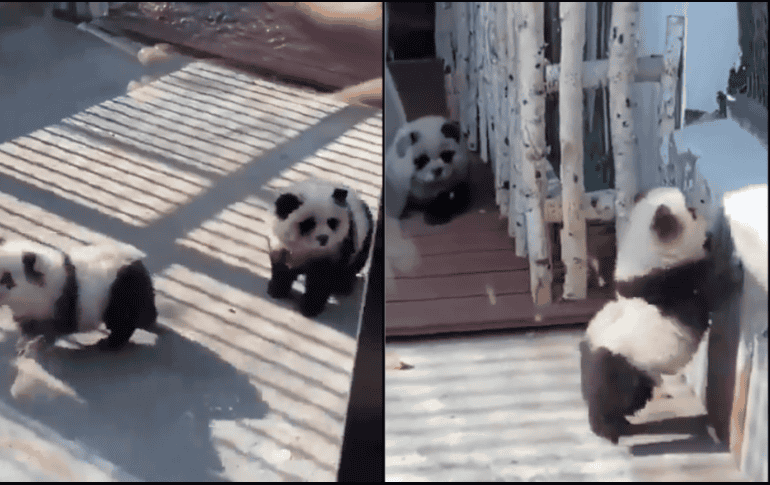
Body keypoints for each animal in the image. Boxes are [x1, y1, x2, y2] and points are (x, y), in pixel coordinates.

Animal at [0, 239, 158, 353]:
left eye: (7, 280)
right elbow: (27, 326)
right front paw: (24, 342)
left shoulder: (59, 304)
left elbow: (55, 328)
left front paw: (36, 345)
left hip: (122, 292)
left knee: (123, 321)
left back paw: (109, 344)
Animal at [267, 179, 374, 317]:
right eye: (308, 223)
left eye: (332, 222)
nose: (323, 238)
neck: (306, 248)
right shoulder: (281, 245)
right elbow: (281, 269)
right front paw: (276, 290)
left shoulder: (335, 250)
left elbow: (321, 279)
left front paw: (310, 308)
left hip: (364, 237)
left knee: (352, 266)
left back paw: (342, 287)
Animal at [580, 187, 740, 444]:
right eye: (692, 211)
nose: (710, 215)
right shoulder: (670, 285)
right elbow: (708, 293)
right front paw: (731, 271)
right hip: (622, 360)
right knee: (609, 392)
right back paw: (607, 428)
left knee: (633, 396)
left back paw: (624, 418)